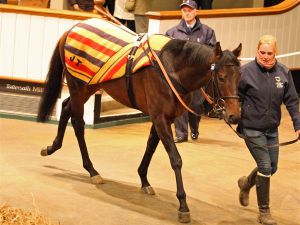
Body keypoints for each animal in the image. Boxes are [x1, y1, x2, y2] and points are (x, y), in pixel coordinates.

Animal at [37, 19, 243, 223]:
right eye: (221, 78)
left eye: (239, 77)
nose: (234, 115)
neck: (172, 68)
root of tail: (73, 28)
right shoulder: (160, 118)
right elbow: (175, 159)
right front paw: (183, 205)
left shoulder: (163, 118)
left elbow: (151, 146)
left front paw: (144, 180)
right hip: (77, 86)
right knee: (78, 123)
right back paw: (92, 170)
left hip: (89, 86)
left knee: (65, 107)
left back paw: (52, 147)